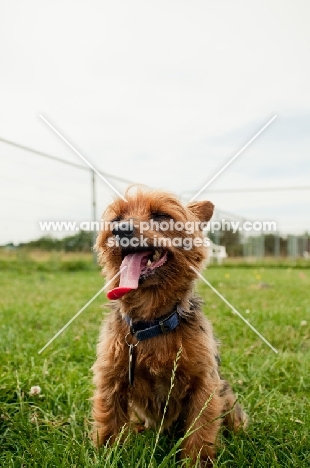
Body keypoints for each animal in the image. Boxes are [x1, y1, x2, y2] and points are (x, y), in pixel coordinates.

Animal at [92, 186, 247, 464]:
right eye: (116, 218)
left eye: (161, 215)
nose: (120, 229)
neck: (151, 321)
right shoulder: (111, 376)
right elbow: (109, 419)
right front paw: (109, 454)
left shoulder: (203, 382)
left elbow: (200, 427)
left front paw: (197, 461)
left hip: (226, 392)